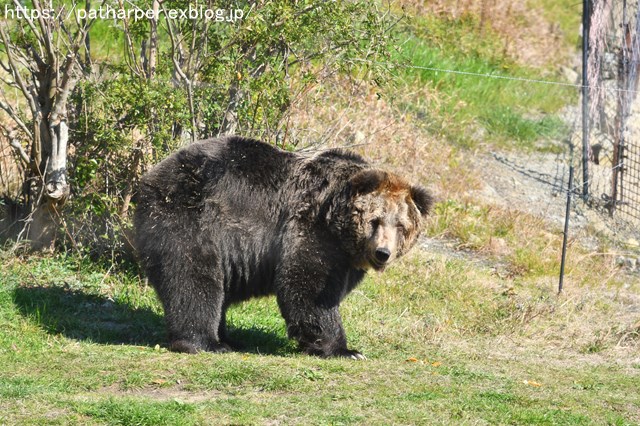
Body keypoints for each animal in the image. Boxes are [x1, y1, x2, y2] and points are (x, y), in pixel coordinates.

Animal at [136, 137, 436, 360]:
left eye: (401, 225)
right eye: (375, 220)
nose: (382, 253)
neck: (340, 229)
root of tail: (153, 173)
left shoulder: (346, 259)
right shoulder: (310, 225)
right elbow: (308, 286)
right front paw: (345, 349)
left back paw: (227, 337)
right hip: (189, 214)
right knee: (192, 277)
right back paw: (206, 342)